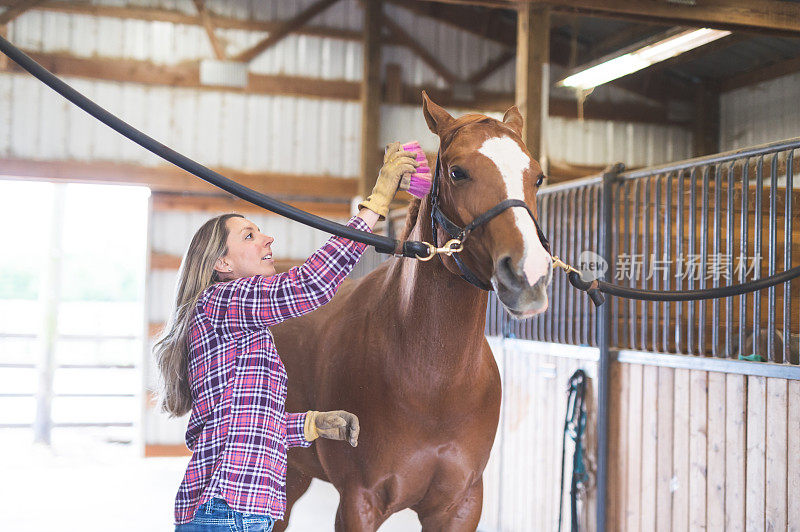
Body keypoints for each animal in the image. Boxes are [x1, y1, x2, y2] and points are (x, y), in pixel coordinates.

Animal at [272, 93, 552, 528]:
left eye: (537, 176)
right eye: (457, 172)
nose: (530, 273)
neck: (433, 386)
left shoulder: (461, 505)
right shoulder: (358, 503)